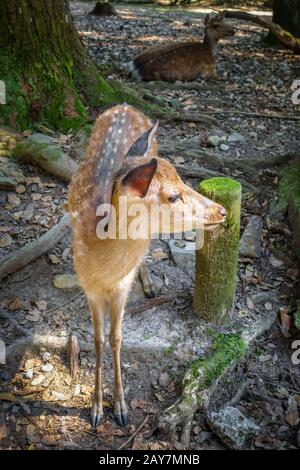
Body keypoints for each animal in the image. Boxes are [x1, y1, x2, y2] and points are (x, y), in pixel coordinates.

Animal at [68, 104, 226, 428]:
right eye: (173, 196)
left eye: (182, 179)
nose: (222, 210)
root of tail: (125, 106)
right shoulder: (88, 287)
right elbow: (98, 339)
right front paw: (96, 408)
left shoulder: (121, 288)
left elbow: (116, 338)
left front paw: (120, 408)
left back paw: (150, 283)